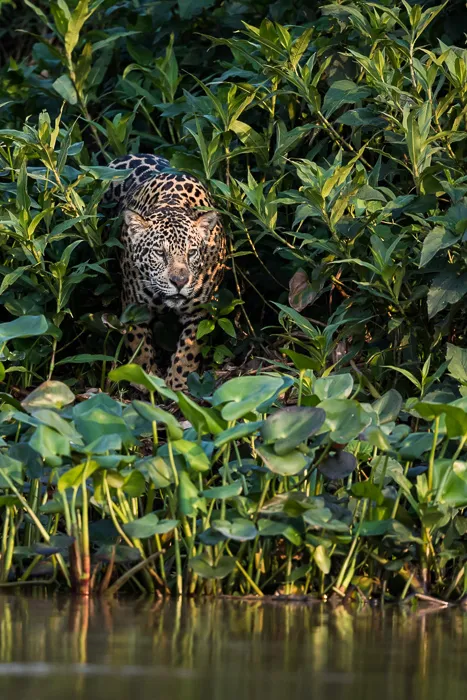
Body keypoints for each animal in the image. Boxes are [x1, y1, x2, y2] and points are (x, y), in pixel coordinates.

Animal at [105, 153, 226, 391]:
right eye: (160, 253)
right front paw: (145, 376)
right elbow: (138, 340)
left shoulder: (202, 309)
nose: (179, 281)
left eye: (191, 253)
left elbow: (190, 347)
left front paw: (177, 383)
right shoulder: (134, 306)